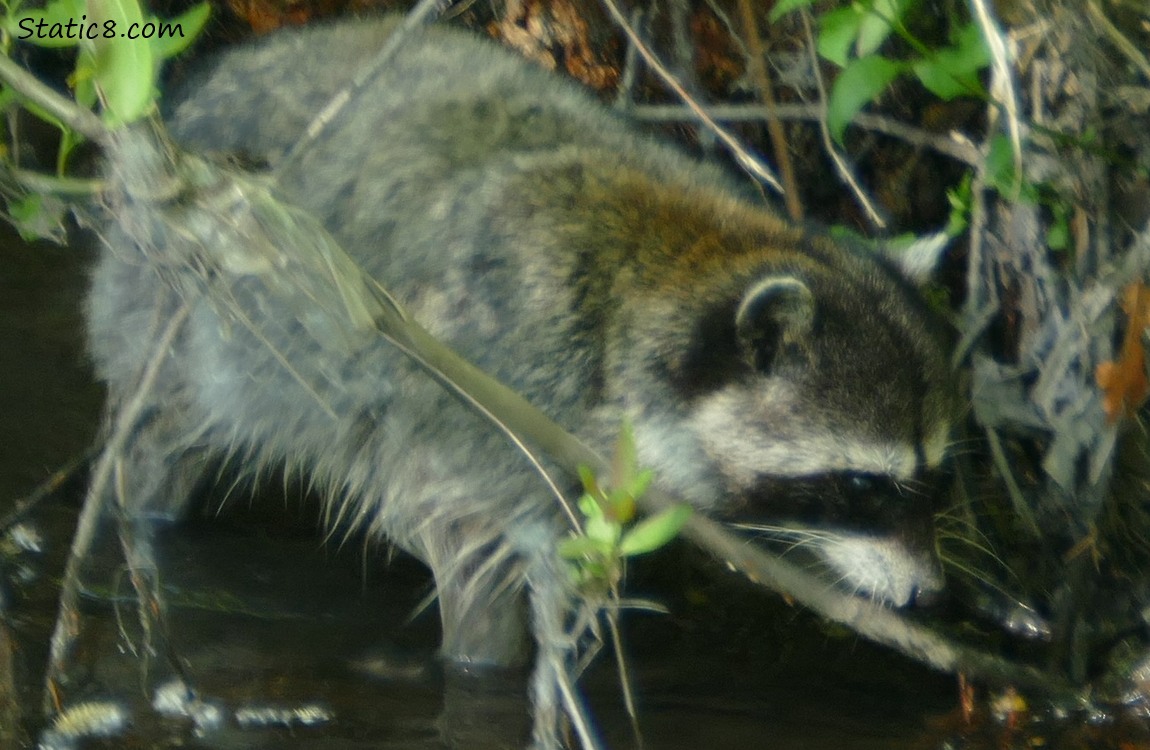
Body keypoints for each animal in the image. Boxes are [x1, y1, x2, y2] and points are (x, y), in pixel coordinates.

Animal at [87, 17, 952, 680]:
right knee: (169, 431)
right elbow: (458, 537)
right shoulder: (498, 398)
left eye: (936, 479)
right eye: (863, 487)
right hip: (171, 309)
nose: (928, 595)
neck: (680, 262)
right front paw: (488, 667)